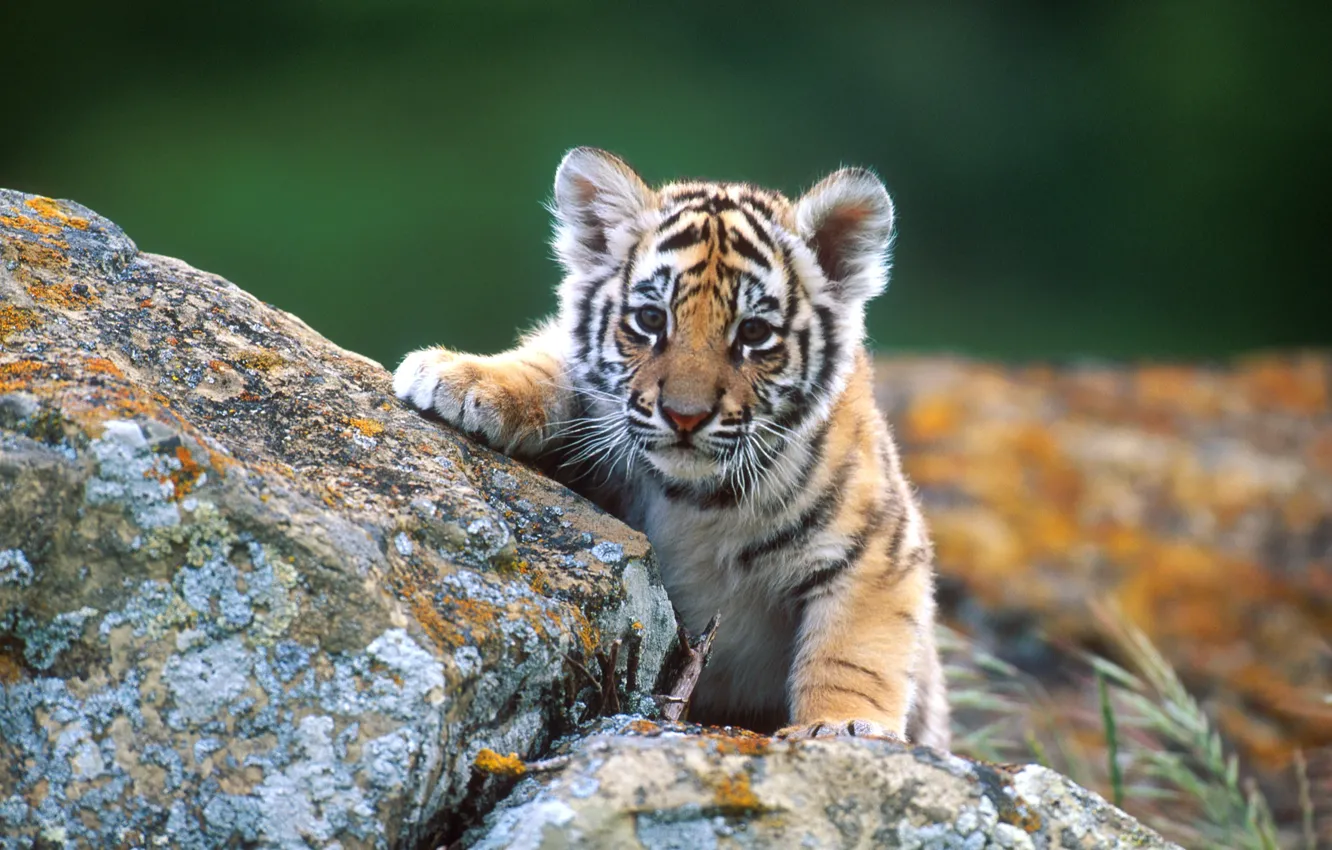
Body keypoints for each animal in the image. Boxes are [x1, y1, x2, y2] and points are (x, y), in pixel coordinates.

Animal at [393, 147, 949, 748]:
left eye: (753, 333)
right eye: (650, 319)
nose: (685, 415)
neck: (696, 499)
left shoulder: (879, 551)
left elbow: (852, 654)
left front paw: (843, 726)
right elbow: (551, 362)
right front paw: (461, 377)